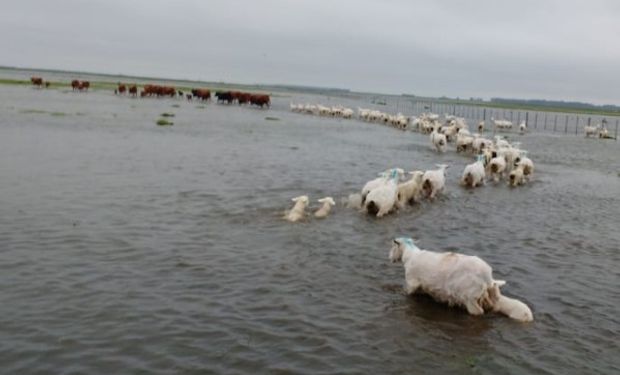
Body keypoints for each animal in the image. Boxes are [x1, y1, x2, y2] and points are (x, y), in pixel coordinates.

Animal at [388, 238, 532, 324]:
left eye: (393, 247)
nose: (389, 257)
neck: (410, 256)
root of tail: (487, 277)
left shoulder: (411, 283)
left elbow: (406, 291)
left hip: (470, 298)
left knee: (478, 313)